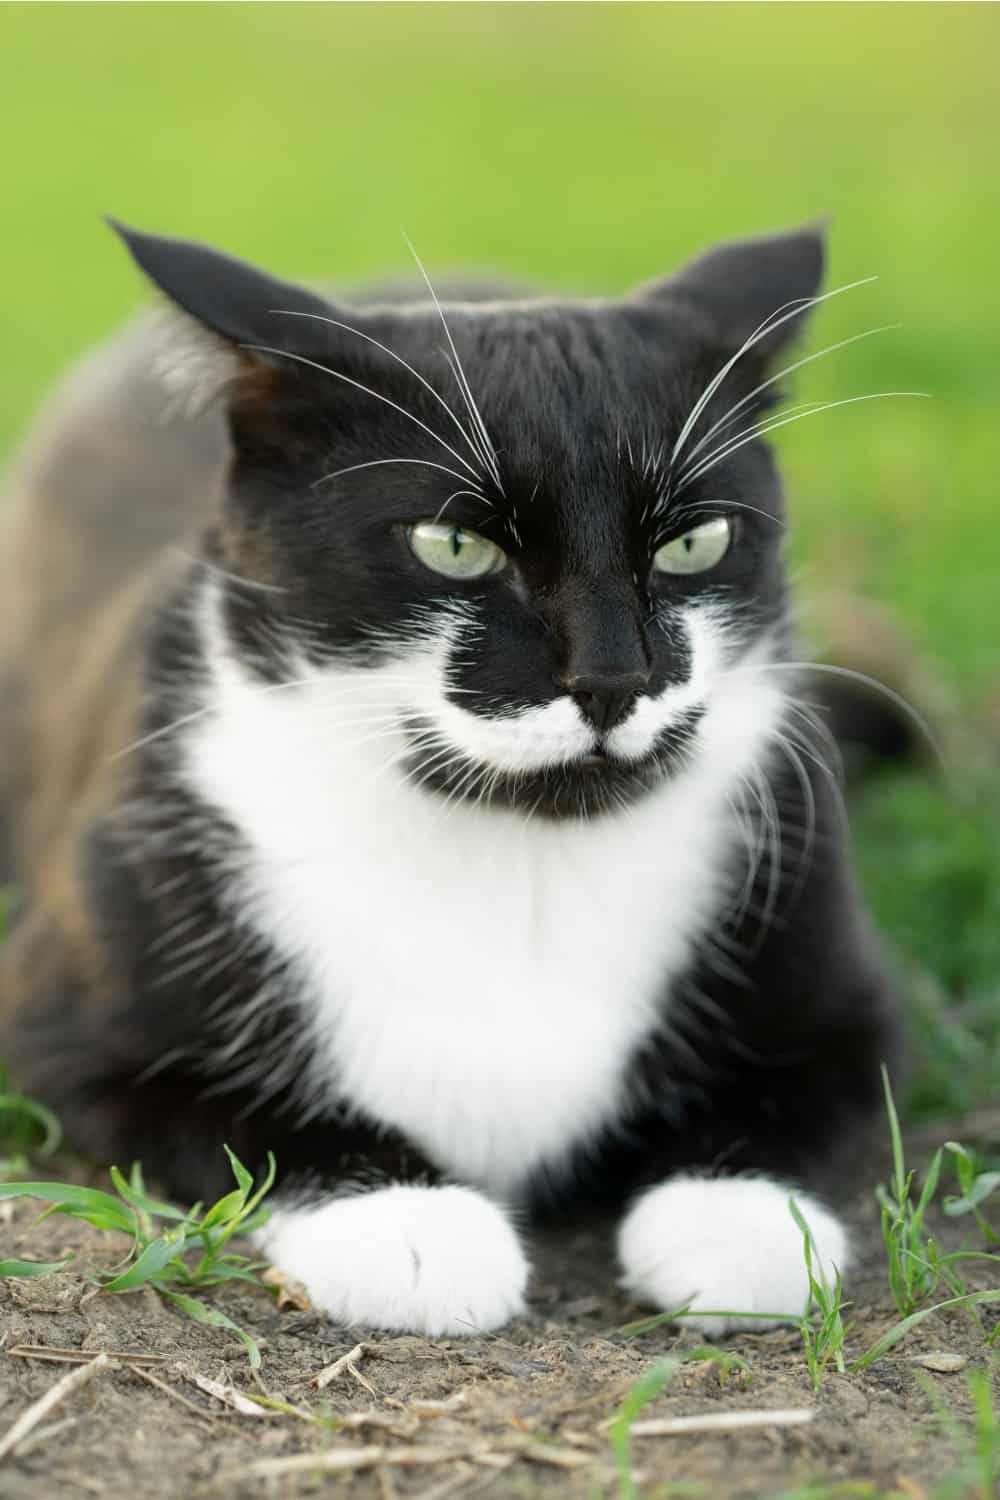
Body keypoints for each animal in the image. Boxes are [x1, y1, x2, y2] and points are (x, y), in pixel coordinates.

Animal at [0, 219, 905, 1338]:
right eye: (454, 546)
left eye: (697, 541)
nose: (613, 676)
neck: (519, 858)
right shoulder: (76, 1006)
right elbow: (229, 1110)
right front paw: (408, 1224)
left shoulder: (825, 938)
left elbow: (809, 1084)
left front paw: (736, 1223)